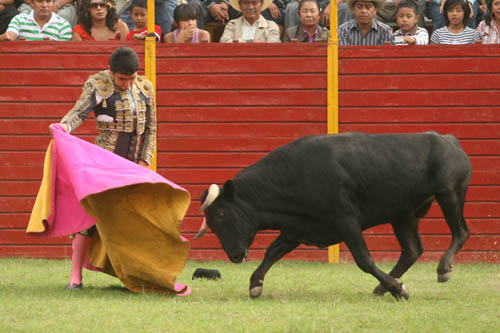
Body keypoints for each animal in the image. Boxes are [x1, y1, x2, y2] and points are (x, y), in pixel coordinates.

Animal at [193, 131, 470, 300]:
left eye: (221, 214)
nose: (234, 255)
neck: (293, 176)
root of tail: (449, 140)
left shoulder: (346, 221)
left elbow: (363, 259)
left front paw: (400, 289)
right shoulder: (296, 228)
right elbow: (272, 252)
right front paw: (255, 284)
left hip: (449, 194)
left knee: (461, 231)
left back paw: (442, 269)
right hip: (404, 214)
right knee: (412, 250)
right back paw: (383, 288)